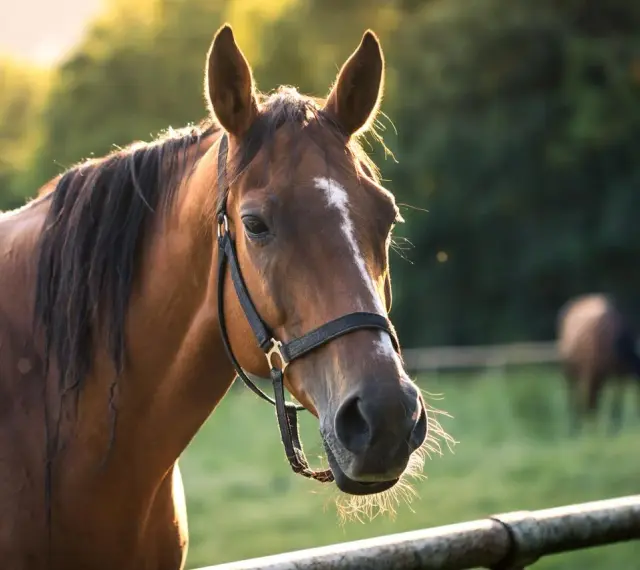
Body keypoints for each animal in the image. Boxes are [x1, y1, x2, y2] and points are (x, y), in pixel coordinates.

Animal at [557, 293, 640, 434]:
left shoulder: (618, 373)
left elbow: (616, 398)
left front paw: (613, 427)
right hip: (570, 371)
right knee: (573, 394)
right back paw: (573, 426)